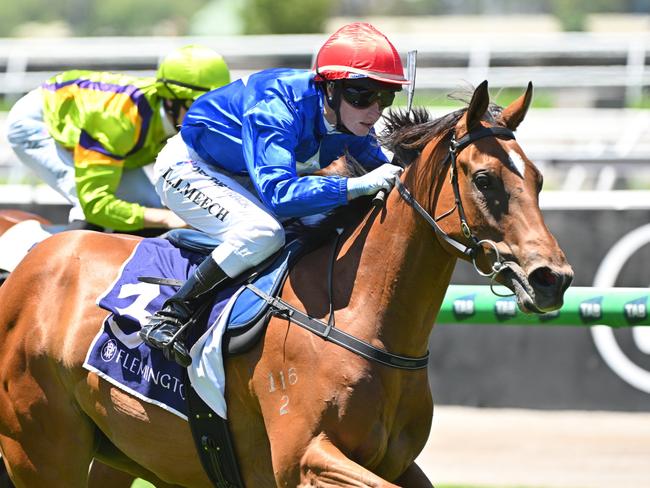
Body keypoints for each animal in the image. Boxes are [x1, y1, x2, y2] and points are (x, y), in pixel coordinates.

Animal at [0, 82, 568, 486]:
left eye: (538, 179)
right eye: (485, 180)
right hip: (41, 449)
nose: (552, 279)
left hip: (122, 454)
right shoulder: (303, 459)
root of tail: (29, 265)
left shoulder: (395, 463)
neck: (359, 315)